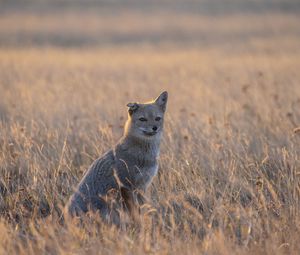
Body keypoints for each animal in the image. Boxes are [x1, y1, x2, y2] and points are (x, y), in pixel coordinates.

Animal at [65, 90, 168, 222]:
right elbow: (134, 212)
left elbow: (142, 207)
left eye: (157, 118)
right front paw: (138, 223)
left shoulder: (142, 186)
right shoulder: (127, 185)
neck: (144, 155)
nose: (154, 128)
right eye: (142, 119)